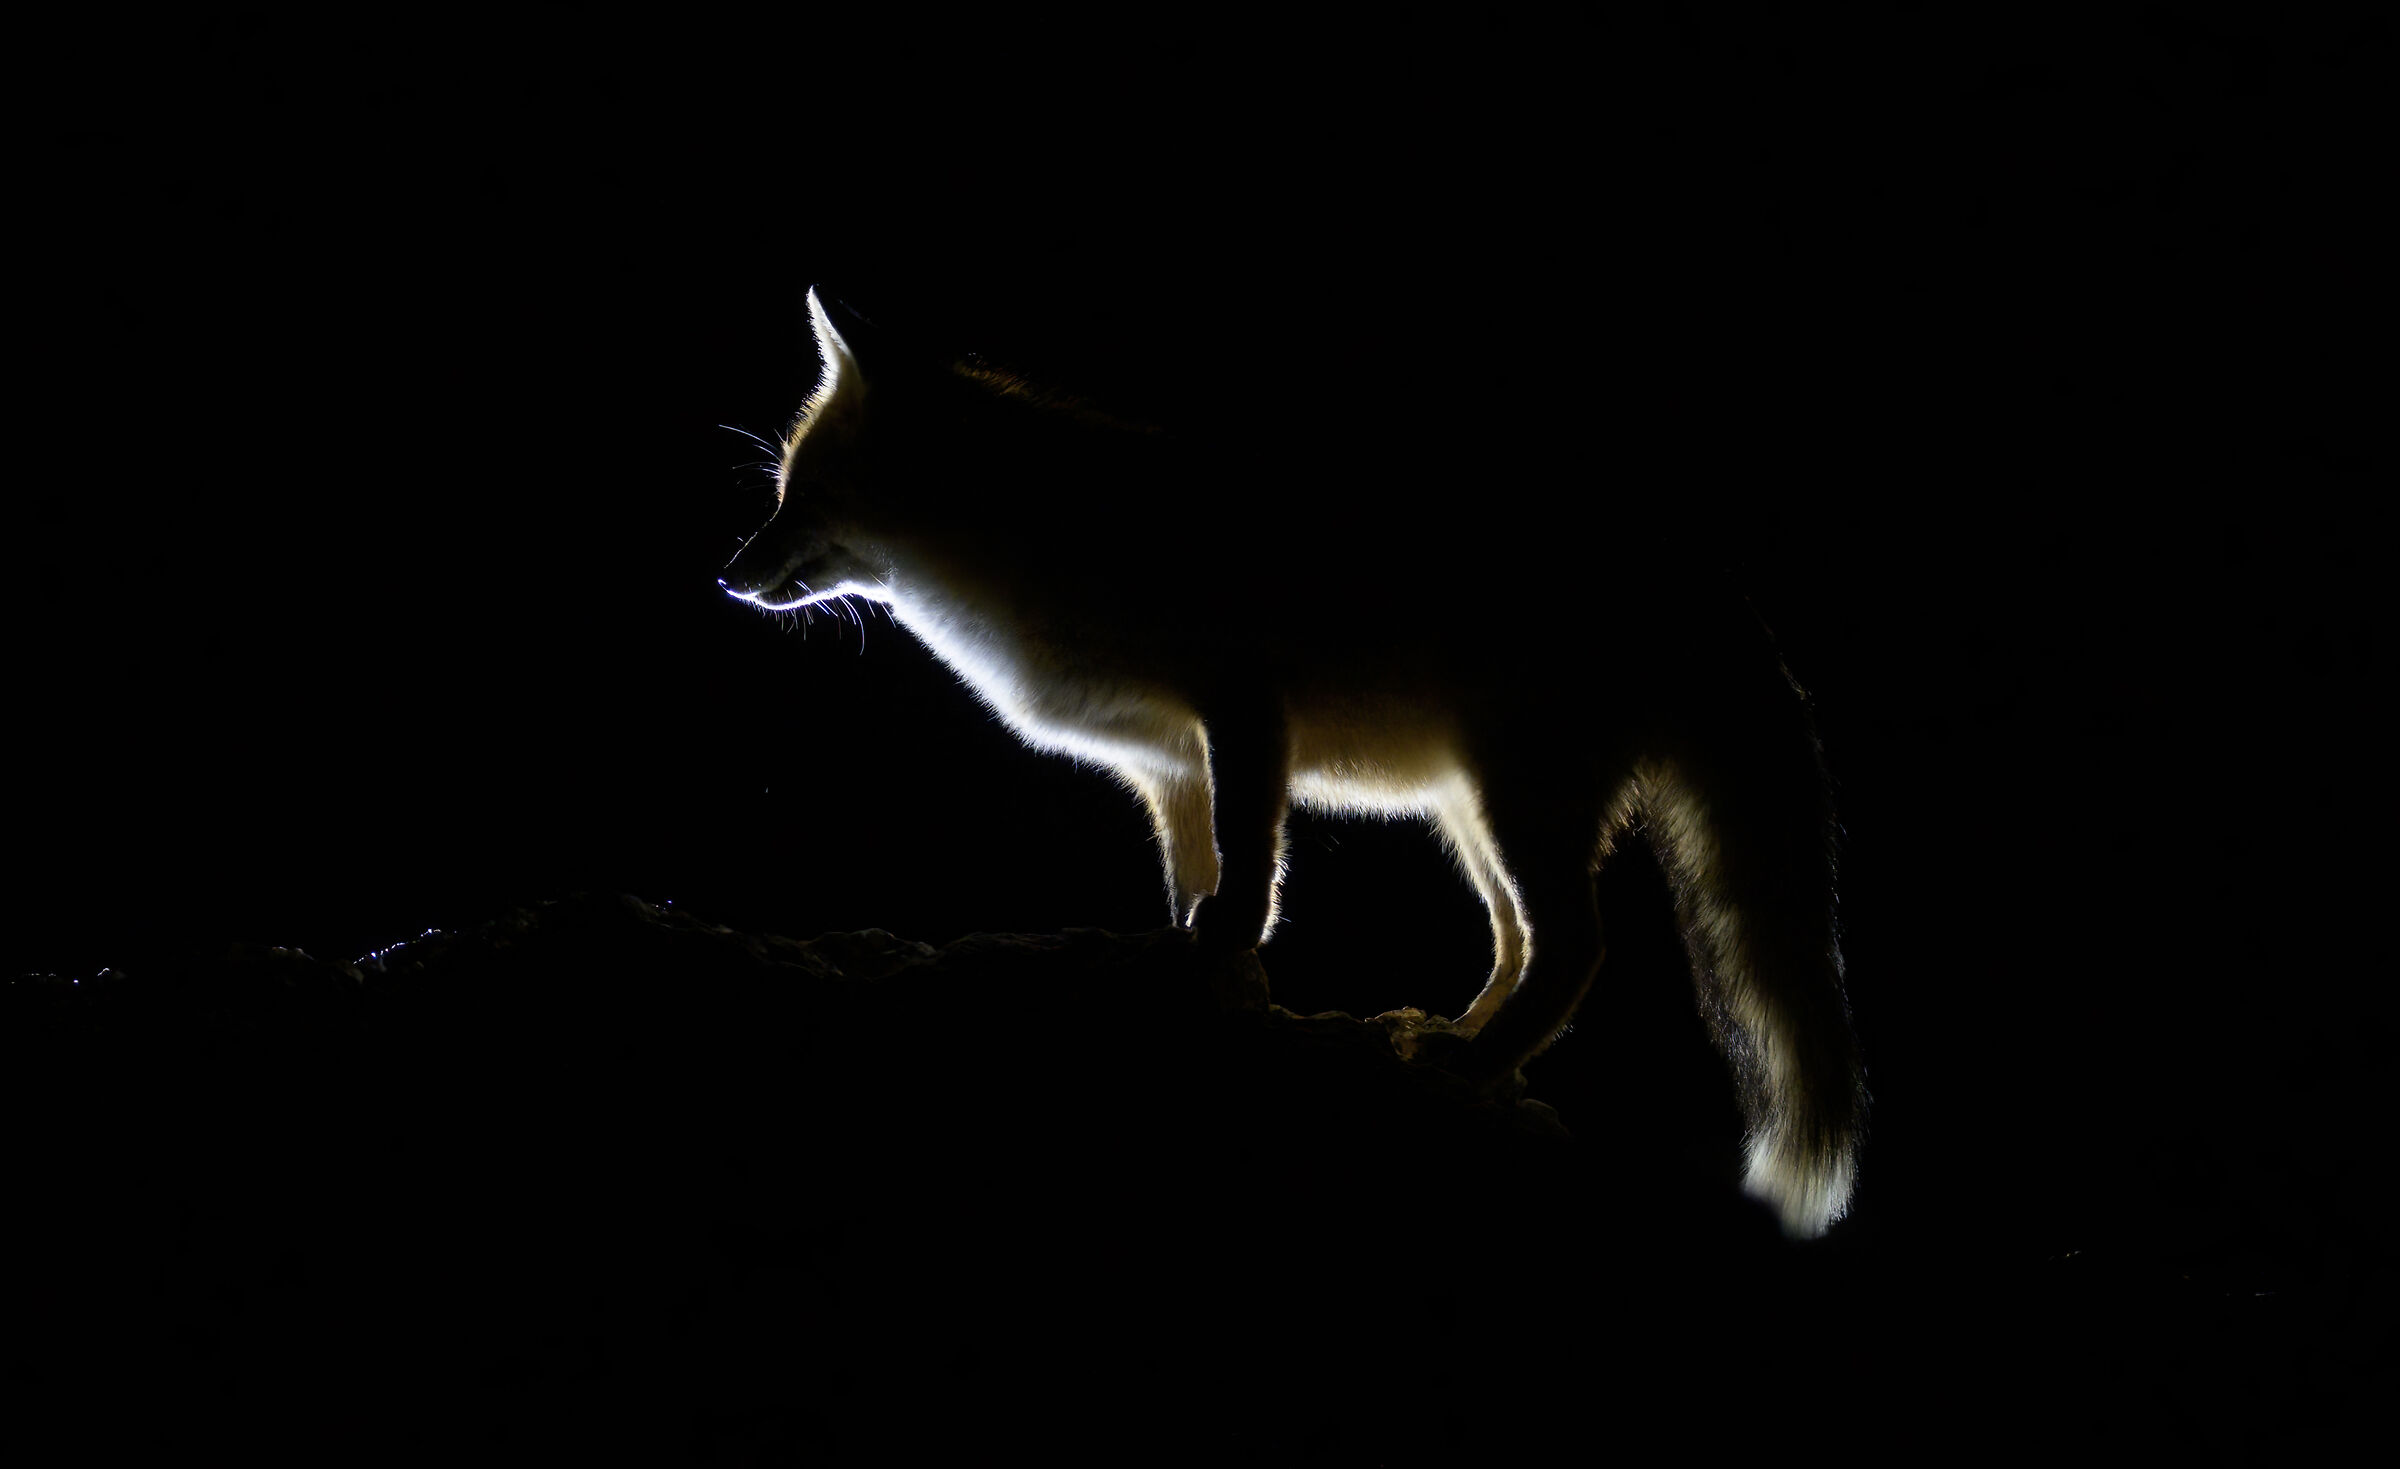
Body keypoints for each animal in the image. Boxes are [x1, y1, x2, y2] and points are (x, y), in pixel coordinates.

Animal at [720, 288, 1866, 1237]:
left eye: (798, 496)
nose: (728, 577)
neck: (1038, 549)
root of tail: (1701, 575)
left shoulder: (1241, 710)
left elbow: (1250, 858)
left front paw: (1231, 942)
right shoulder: (1166, 765)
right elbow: (1190, 874)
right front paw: (1199, 961)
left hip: (1518, 802)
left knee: (1581, 944)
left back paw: (1476, 1063)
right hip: (1475, 818)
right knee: (1519, 941)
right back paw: (1450, 1038)